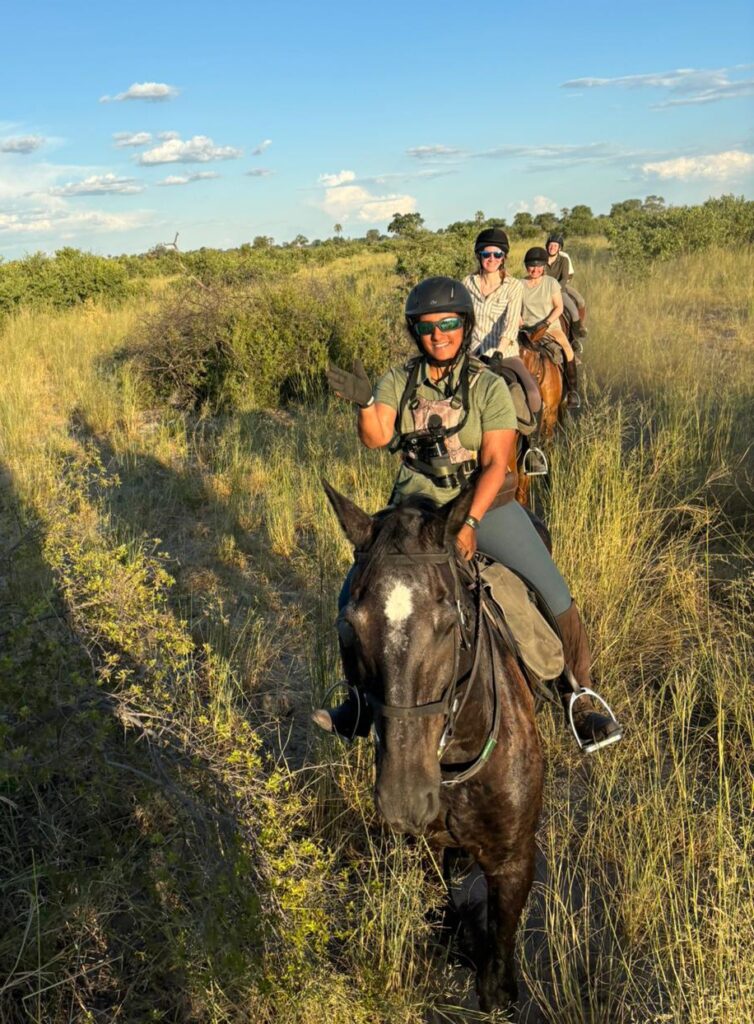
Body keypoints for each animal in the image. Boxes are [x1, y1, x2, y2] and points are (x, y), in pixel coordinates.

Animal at [323, 483, 540, 1011]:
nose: (404, 800)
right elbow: (443, 906)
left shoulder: (515, 861)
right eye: (347, 627)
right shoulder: (426, 846)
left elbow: (497, 971)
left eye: (448, 622)